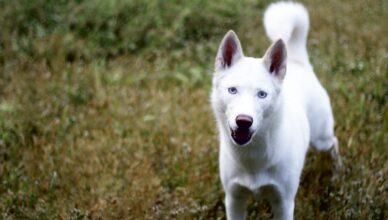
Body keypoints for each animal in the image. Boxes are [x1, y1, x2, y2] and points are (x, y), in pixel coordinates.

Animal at [211, 2, 342, 220]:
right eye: (232, 90)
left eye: (262, 94)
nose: (243, 121)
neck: (253, 157)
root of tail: (298, 62)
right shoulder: (234, 199)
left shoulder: (284, 203)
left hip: (320, 138)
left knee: (334, 142)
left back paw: (339, 170)